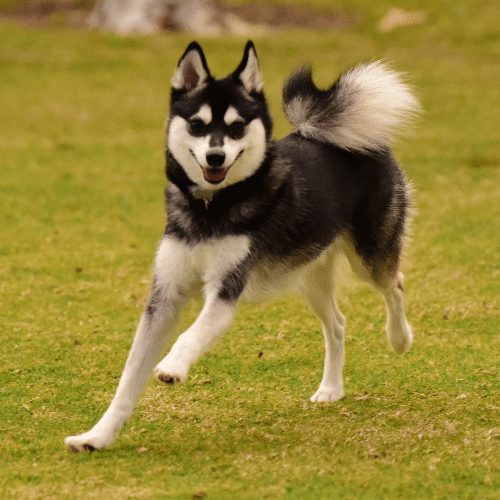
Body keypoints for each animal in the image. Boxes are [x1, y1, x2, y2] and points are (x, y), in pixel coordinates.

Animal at [64, 41, 420, 452]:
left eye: (236, 128)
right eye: (197, 125)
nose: (215, 157)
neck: (210, 209)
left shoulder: (224, 292)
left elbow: (191, 334)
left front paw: (172, 366)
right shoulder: (164, 297)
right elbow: (128, 380)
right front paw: (97, 436)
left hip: (368, 259)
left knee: (395, 284)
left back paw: (399, 339)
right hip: (308, 275)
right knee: (337, 324)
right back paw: (331, 388)